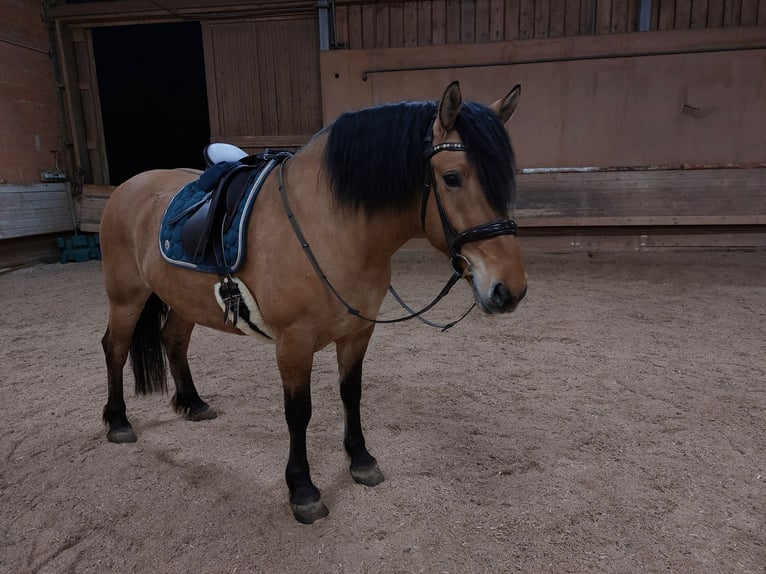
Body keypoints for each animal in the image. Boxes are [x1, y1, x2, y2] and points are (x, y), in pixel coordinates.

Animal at [100, 82, 528, 528]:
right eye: (452, 177)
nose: (509, 289)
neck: (330, 227)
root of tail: (129, 187)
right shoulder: (294, 343)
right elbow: (299, 412)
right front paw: (302, 489)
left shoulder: (358, 333)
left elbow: (351, 394)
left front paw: (360, 459)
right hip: (126, 297)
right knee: (115, 347)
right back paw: (118, 422)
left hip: (184, 300)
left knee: (174, 341)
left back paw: (193, 403)